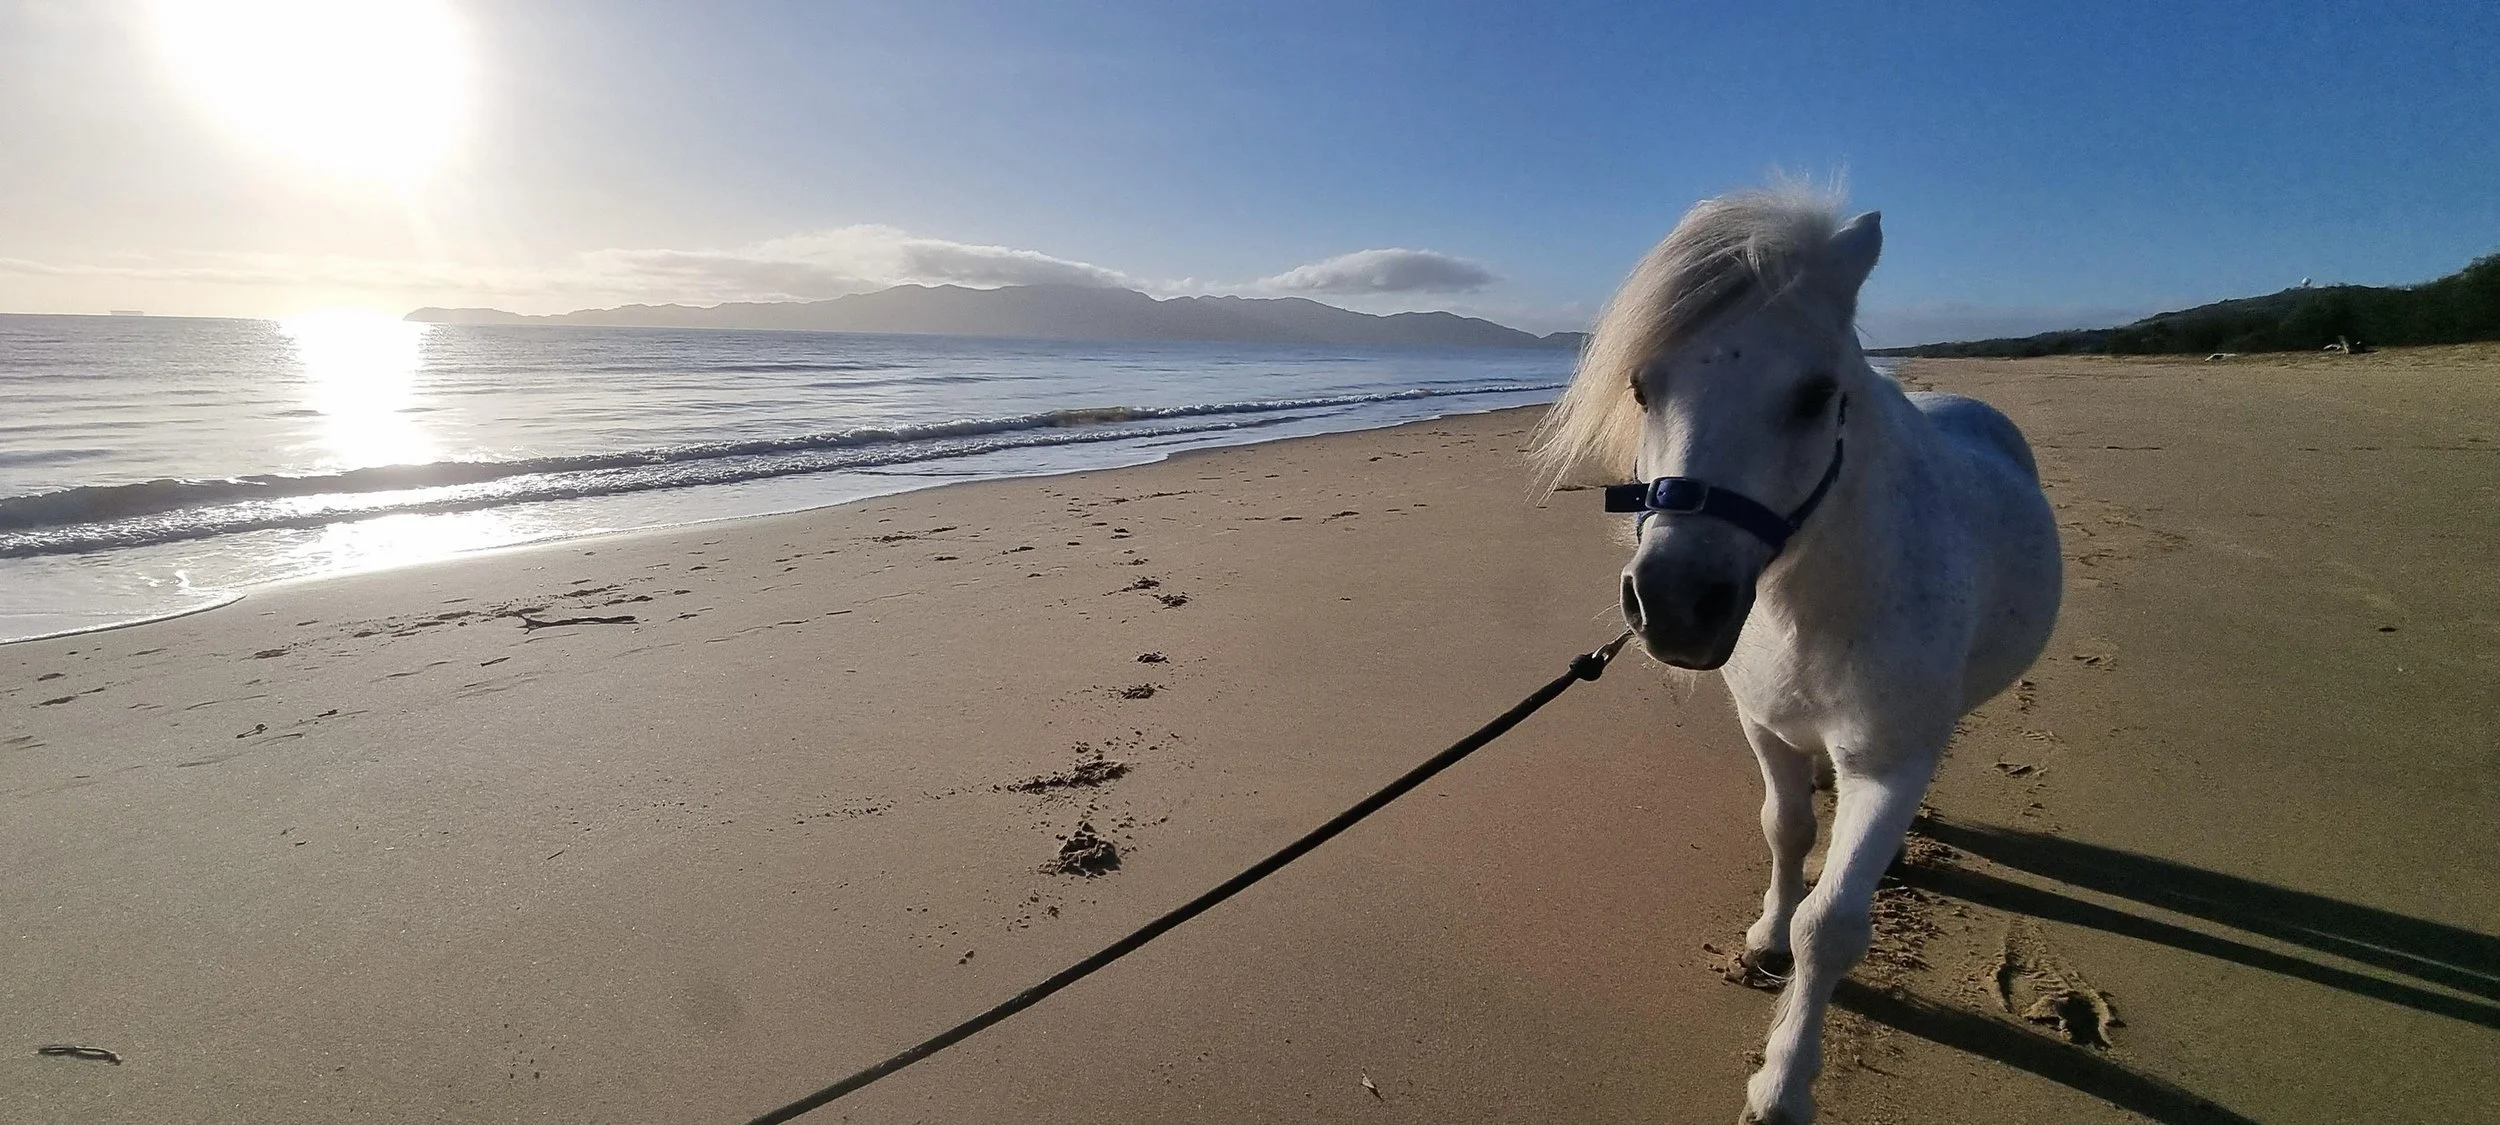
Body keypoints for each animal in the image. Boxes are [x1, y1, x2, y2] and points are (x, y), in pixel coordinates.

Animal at [1533, 190, 2063, 1124]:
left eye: (1818, 394)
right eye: (1642, 386)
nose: (1674, 604)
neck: (1817, 605)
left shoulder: (1887, 762)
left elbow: (1833, 924)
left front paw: (1782, 1082)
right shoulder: (1766, 729)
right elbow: (1786, 833)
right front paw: (1763, 939)